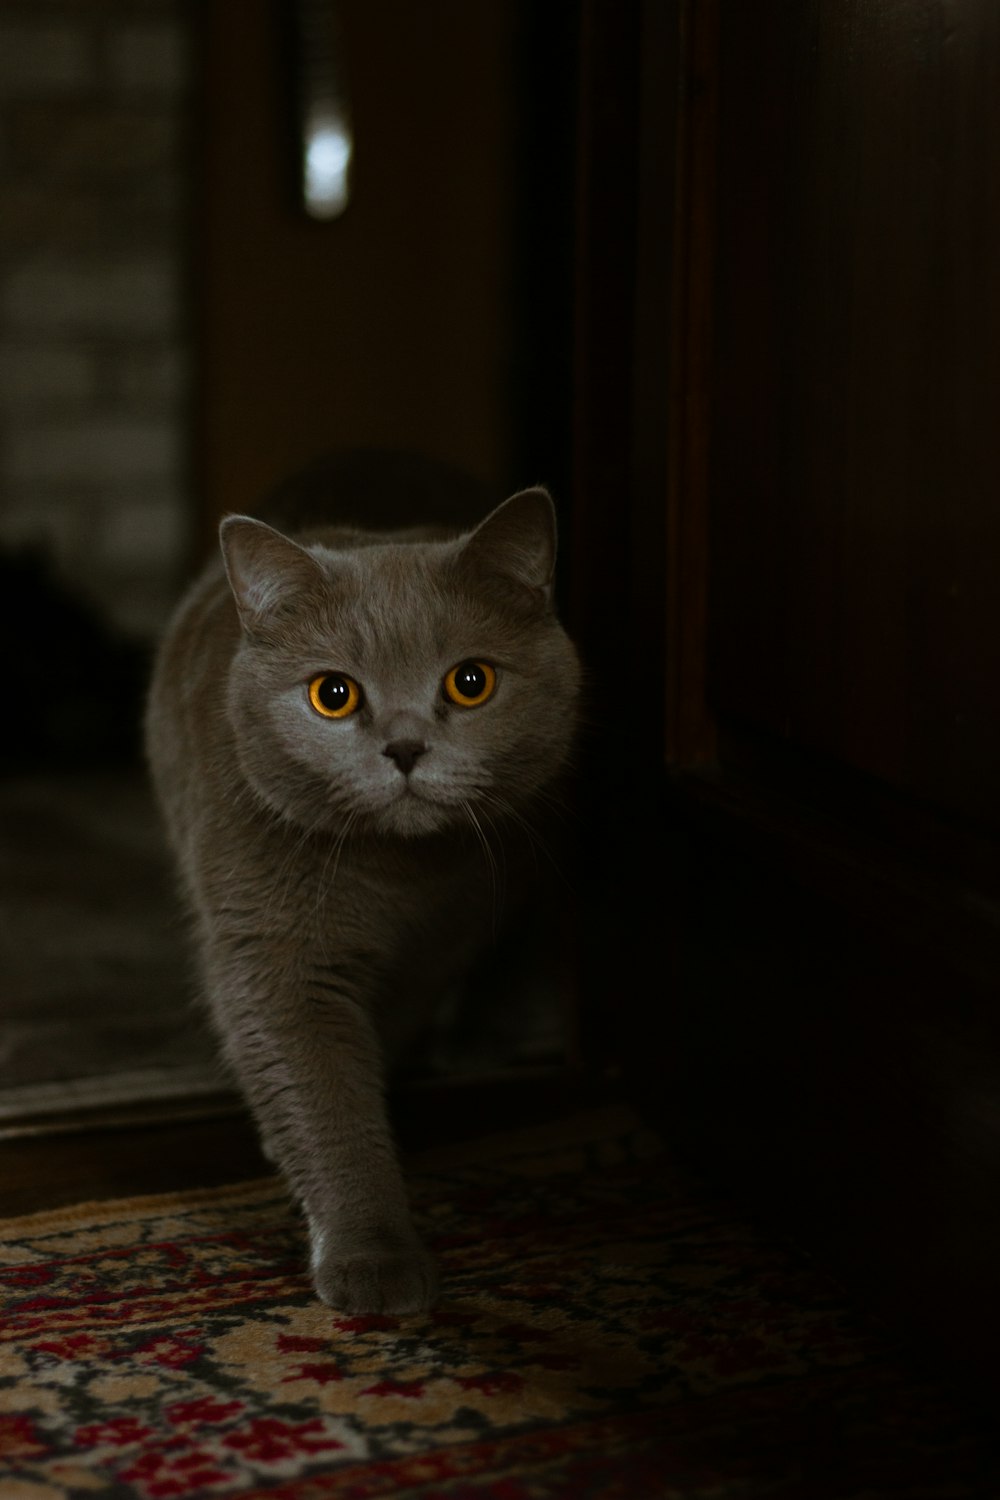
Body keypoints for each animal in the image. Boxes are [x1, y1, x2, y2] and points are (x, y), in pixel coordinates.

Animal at [141, 465, 578, 1314]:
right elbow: (321, 1087)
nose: (405, 747)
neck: (395, 878)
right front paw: (374, 1257)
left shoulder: (453, 926)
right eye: (333, 695)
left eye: (470, 683)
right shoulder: (269, 944)